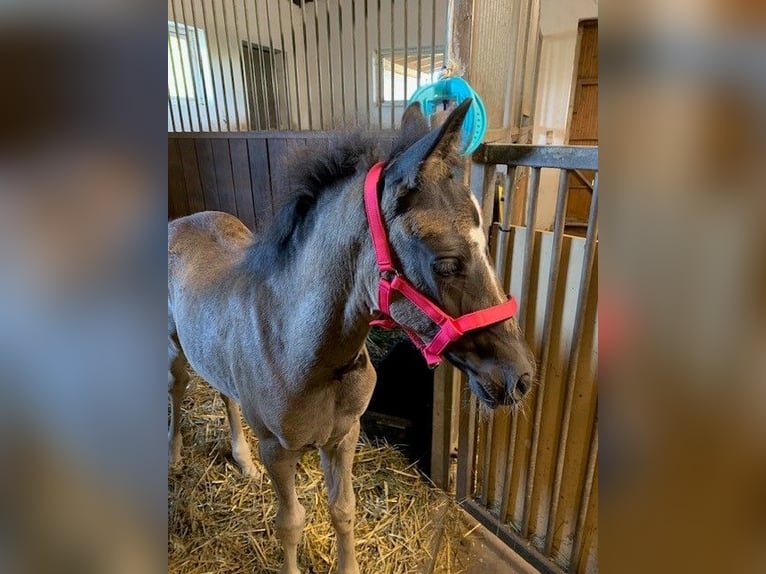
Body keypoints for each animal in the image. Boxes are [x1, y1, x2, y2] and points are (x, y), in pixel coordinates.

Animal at [170, 103, 536, 574]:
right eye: (446, 262)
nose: (520, 376)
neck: (305, 356)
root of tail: (182, 221)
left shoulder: (344, 436)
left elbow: (343, 511)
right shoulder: (277, 451)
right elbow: (290, 524)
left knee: (225, 394)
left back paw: (242, 461)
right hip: (174, 350)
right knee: (177, 388)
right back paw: (174, 456)